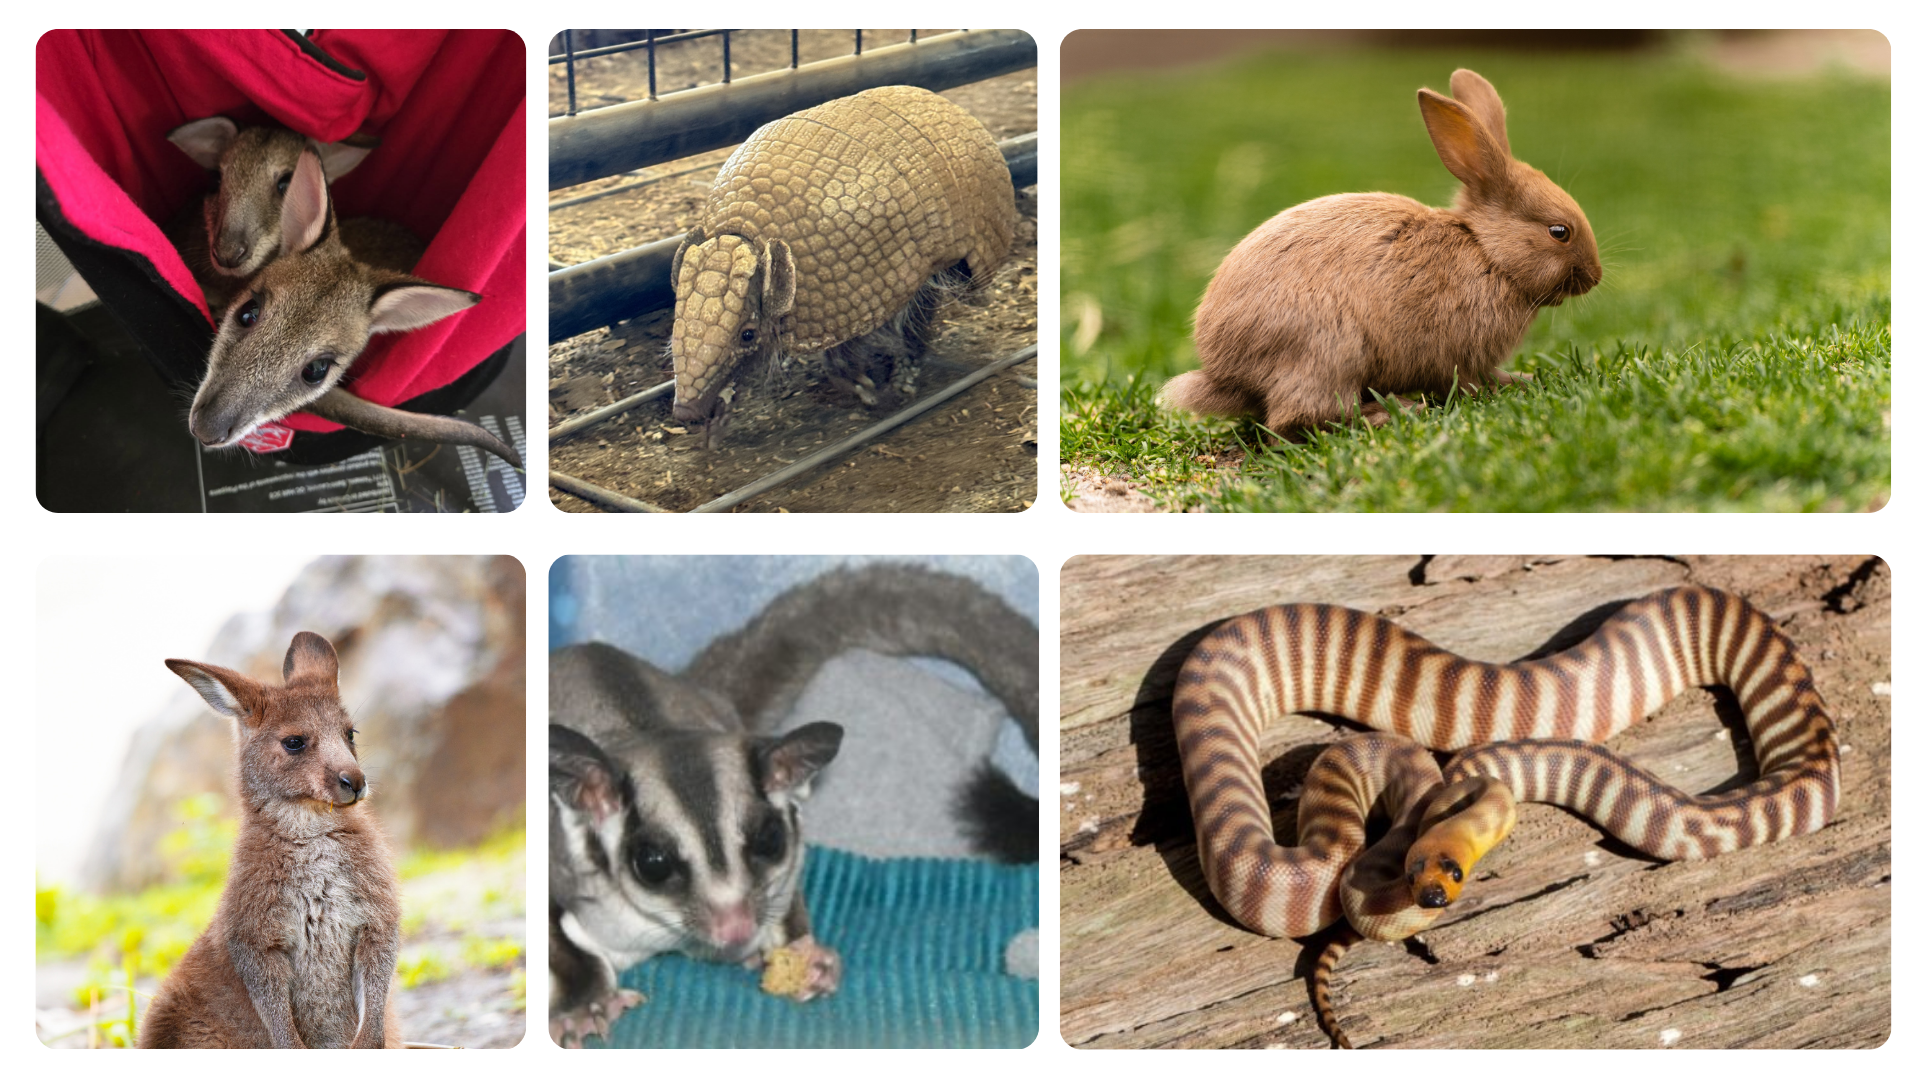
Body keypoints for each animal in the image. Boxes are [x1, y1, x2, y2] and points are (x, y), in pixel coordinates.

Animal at [1161, 68, 1602, 440]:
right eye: (1560, 232)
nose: (1595, 277)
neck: (1487, 252)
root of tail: (1225, 374)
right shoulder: (1458, 355)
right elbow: (1470, 380)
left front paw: (1522, 380)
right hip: (1329, 351)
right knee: (1297, 422)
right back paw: (1393, 412)